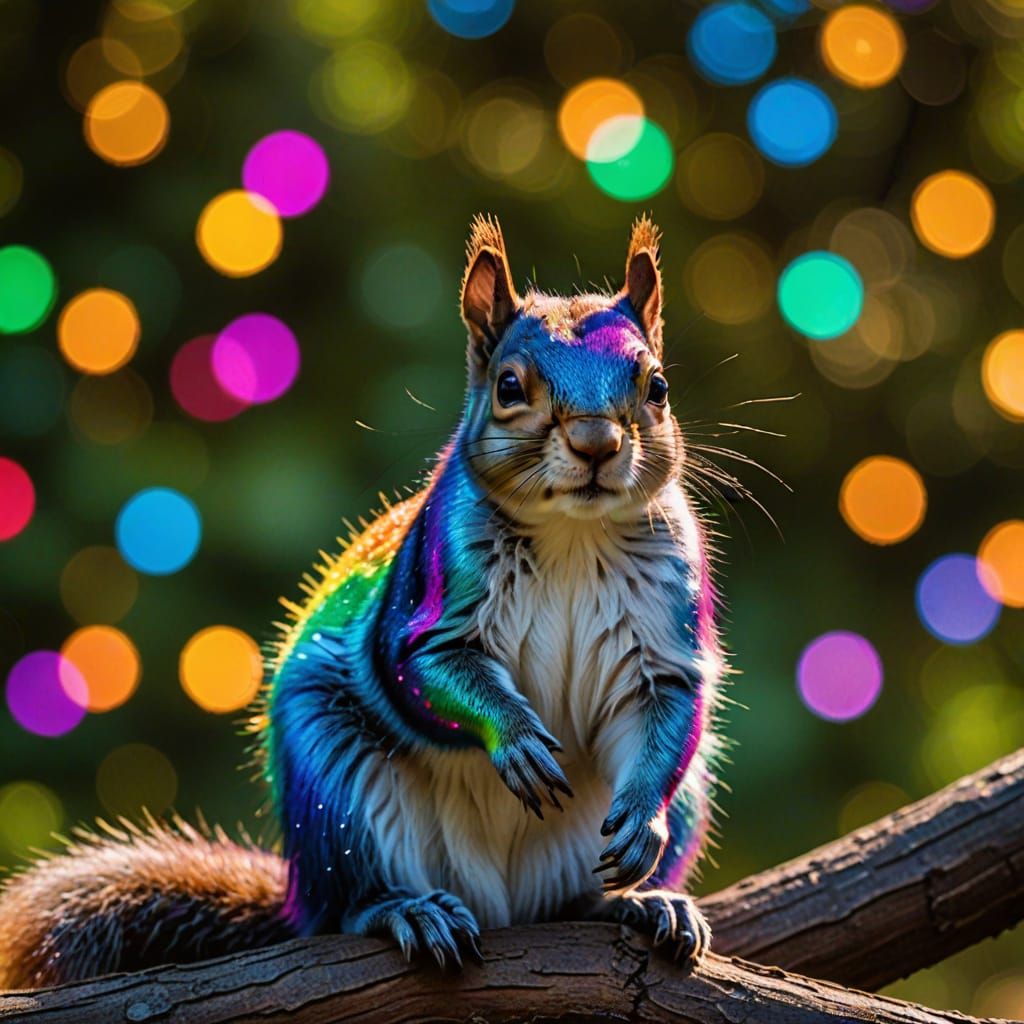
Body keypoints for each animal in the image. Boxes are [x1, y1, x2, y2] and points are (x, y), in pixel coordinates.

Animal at [0, 215, 725, 990]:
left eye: (658, 385)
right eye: (508, 385)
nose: (596, 442)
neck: (571, 533)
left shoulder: (666, 630)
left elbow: (668, 704)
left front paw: (641, 817)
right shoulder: (429, 600)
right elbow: (427, 670)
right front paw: (518, 738)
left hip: (679, 802)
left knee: (576, 897)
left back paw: (637, 901)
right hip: (338, 793)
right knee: (354, 902)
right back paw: (408, 909)